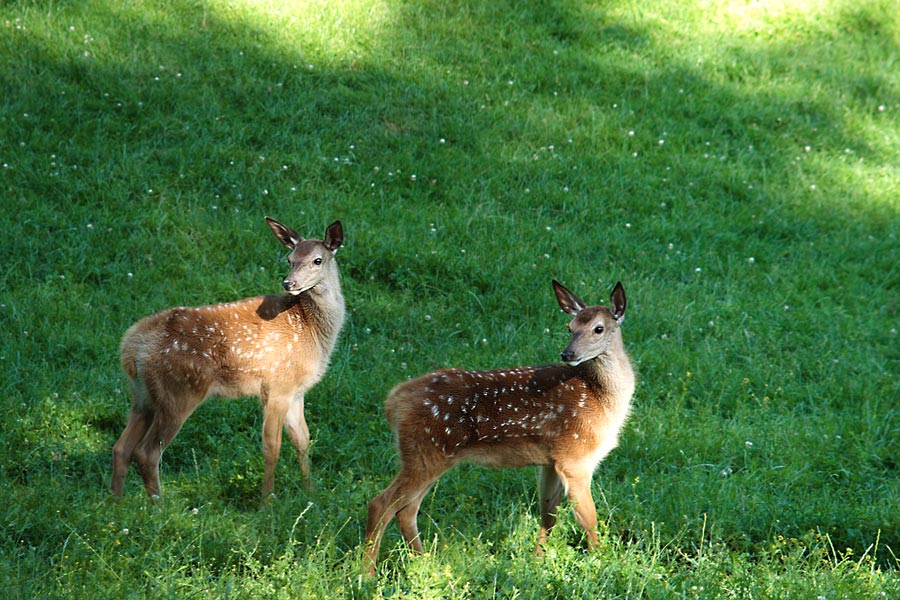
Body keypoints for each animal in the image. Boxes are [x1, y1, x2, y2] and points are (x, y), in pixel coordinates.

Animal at [111, 217, 348, 502]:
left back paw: (116, 504)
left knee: (121, 448)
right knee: (147, 452)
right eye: (289, 258)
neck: (311, 329)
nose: (288, 283)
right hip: (178, 392)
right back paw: (159, 505)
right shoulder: (276, 386)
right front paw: (267, 502)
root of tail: (131, 348)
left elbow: (302, 439)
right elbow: (272, 446)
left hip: (142, 396)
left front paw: (310, 492)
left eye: (317, 260)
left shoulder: (296, 390)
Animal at [364, 278, 632, 576]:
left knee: (406, 510)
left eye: (598, 328)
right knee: (381, 505)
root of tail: (394, 400)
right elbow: (589, 520)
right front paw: (602, 563)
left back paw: (424, 563)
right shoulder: (576, 456)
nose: (567, 353)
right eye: (569, 327)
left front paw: (537, 562)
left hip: (428, 455)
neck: (601, 399)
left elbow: (548, 514)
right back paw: (366, 574)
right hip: (425, 451)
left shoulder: (553, 461)